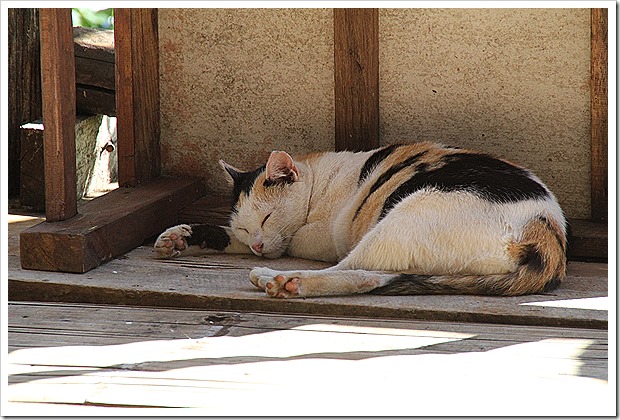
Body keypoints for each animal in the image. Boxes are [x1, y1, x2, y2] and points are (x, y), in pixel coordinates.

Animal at [155, 144, 568, 298]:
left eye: (268, 216)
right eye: (245, 225)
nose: (256, 245)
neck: (320, 179)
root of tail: (548, 235)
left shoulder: (323, 235)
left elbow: (291, 240)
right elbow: (227, 236)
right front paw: (179, 237)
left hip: (406, 215)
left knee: (351, 266)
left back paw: (281, 279)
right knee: (371, 275)